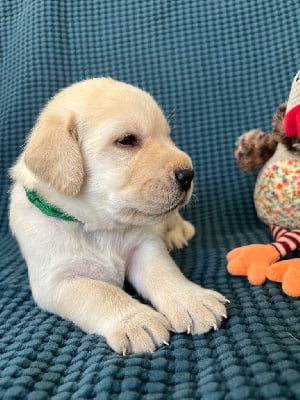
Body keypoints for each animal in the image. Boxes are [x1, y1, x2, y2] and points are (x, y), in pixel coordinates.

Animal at [8, 78, 227, 354]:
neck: (98, 226)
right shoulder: (57, 281)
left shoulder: (145, 246)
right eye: (126, 140)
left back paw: (176, 235)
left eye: (167, 136)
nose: (189, 174)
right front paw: (136, 320)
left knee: (175, 220)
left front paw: (191, 300)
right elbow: (101, 293)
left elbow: (164, 272)